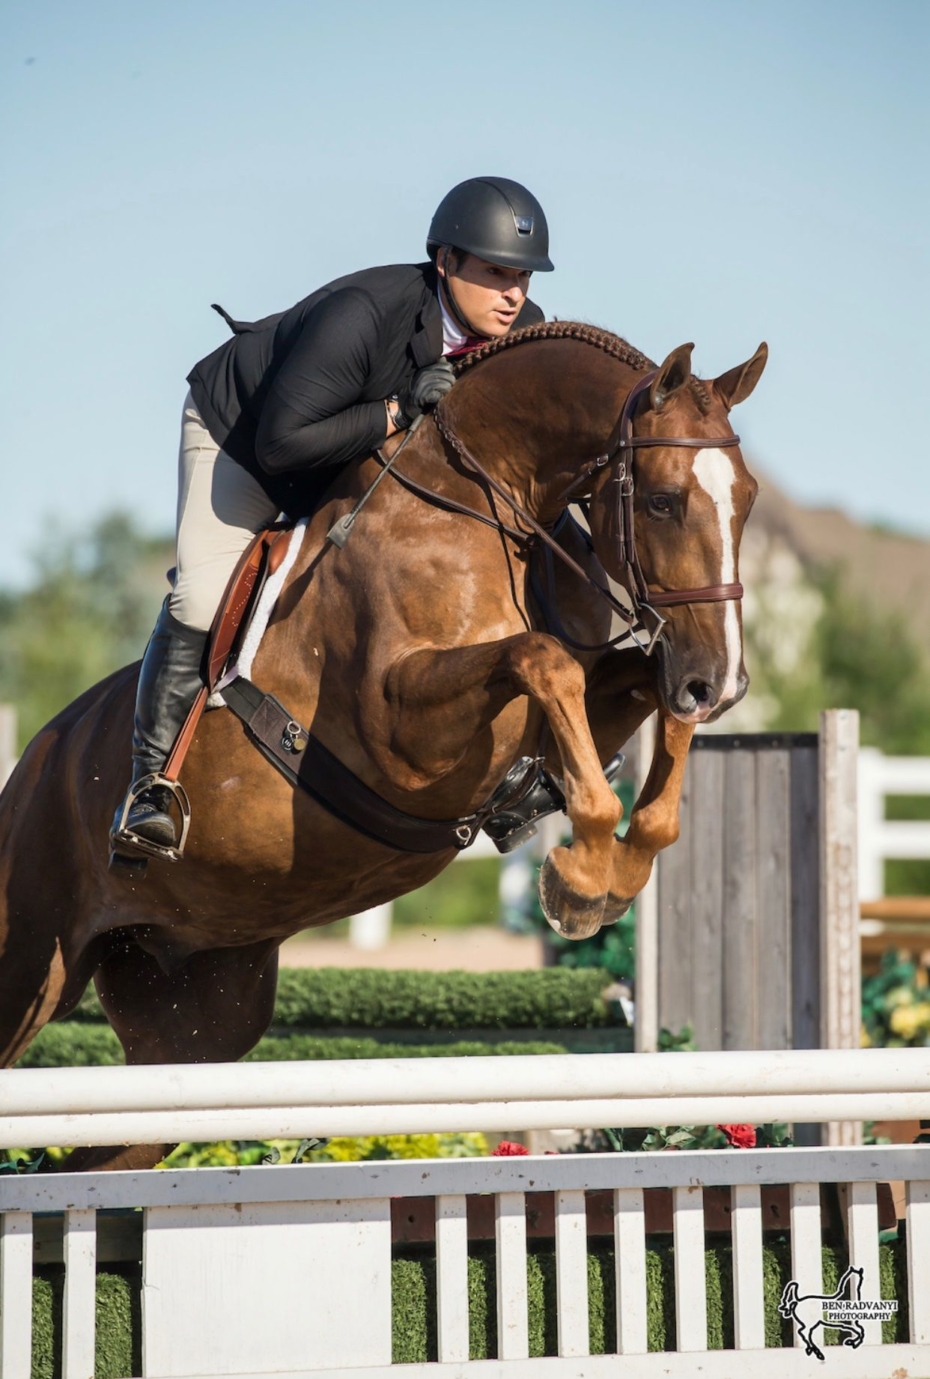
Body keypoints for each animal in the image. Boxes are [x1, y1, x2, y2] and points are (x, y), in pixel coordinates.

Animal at [0, 322, 761, 1163]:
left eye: (748, 499)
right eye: (662, 500)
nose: (722, 682)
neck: (466, 504)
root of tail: (33, 762)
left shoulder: (603, 692)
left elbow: (643, 695)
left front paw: (619, 859)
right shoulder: (403, 732)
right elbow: (544, 659)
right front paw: (585, 877)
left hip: (191, 1014)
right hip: (28, 963)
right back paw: (148, 811)